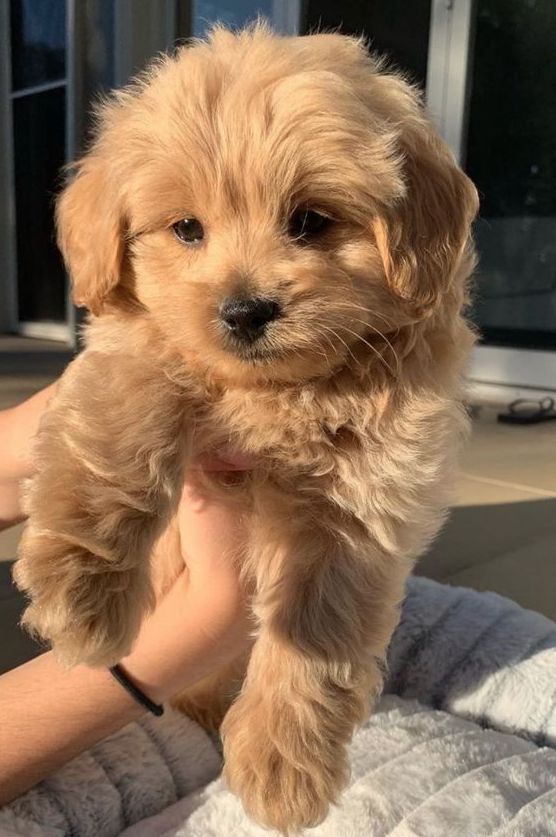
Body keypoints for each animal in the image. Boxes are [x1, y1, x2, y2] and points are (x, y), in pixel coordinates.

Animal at [14, 22, 478, 832]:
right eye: (186, 228)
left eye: (311, 221)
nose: (244, 311)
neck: (274, 393)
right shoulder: (134, 349)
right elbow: (119, 433)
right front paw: (82, 597)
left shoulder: (373, 486)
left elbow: (319, 618)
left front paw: (282, 765)